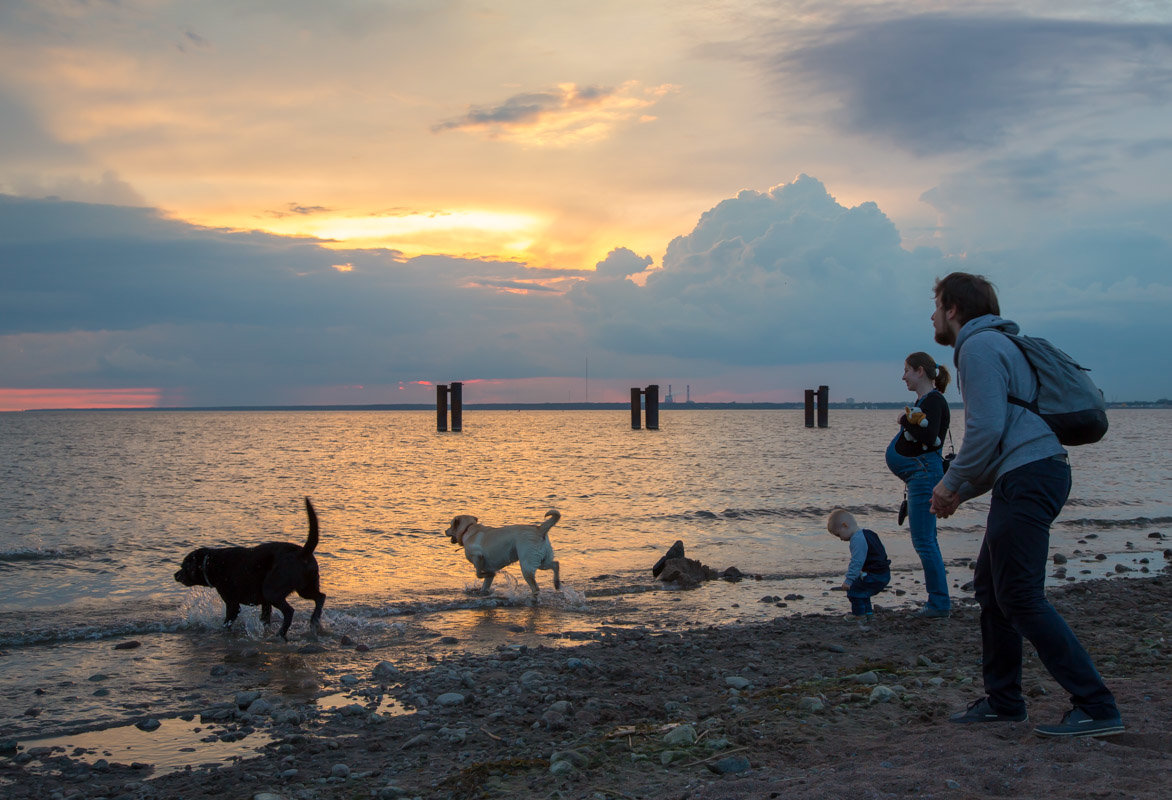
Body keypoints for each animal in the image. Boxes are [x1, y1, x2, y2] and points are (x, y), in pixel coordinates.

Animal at [171, 501, 325, 637]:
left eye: (183, 566)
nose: (175, 575)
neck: (211, 563)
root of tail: (302, 552)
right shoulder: (265, 603)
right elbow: (265, 619)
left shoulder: (232, 603)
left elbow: (228, 621)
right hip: (305, 587)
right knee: (320, 597)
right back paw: (314, 621)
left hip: (272, 589)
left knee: (290, 611)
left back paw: (281, 633)